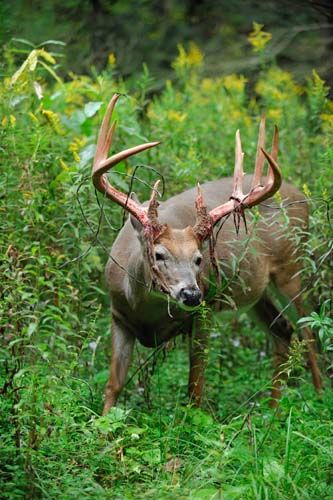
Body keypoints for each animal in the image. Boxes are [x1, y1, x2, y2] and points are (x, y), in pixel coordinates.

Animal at [92, 94, 320, 414]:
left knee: (309, 330)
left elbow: (195, 386)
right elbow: (114, 384)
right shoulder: (118, 316)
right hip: (256, 290)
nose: (191, 294)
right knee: (283, 330)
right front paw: (102, 424)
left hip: (292, 265)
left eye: (198, 259)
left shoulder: (205, 312)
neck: (146, 308)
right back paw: (272, 411)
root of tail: (302, 196)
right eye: (159, 254)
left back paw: (319, 397)